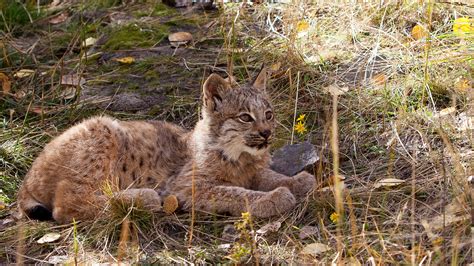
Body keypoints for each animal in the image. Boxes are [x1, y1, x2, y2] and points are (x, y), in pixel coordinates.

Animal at [18, 68, 314, 222]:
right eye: (245, 117)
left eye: (269, 114)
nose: (266, 133)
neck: (238, 154)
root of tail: (28, 175)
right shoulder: (187, 187)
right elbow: (235, 192)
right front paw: (274, 198)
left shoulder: (252, 169)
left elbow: (267, 175)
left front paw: (297, 181)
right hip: (103, 127)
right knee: (66, 205)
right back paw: (142, 198)